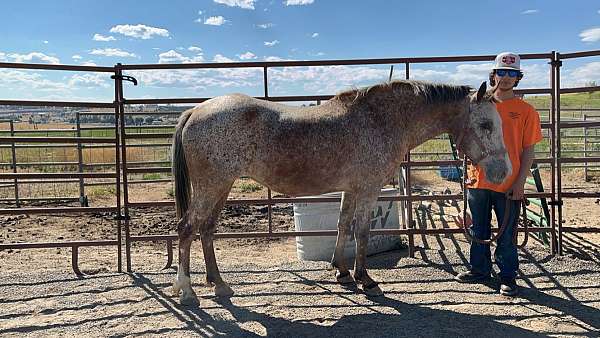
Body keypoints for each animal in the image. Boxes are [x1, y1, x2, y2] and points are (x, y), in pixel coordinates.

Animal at [170, 80, 510, 304]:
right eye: (485, 124)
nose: (503, 172)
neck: (381, 121)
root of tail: (195, 110)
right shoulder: (369, 188)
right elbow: (361, 231)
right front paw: (366, 280)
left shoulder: (351, 189)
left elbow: (343, 225)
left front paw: (342, 272)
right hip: (212, 186)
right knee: (187, 229)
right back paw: (186, 290)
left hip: (221, 187)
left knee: (206, 230)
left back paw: (219, 284)